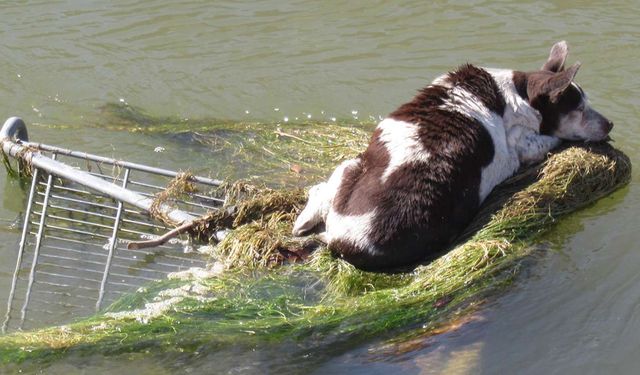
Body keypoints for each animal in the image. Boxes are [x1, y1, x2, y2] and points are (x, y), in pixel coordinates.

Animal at [292, 40, 612, 270]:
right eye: (579, 108)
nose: (610, 124)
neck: (518, 95)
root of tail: (342, 241)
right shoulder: (525, 144)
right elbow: (549, 138)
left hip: (352, 164)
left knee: (320, 190)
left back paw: (303, 222)